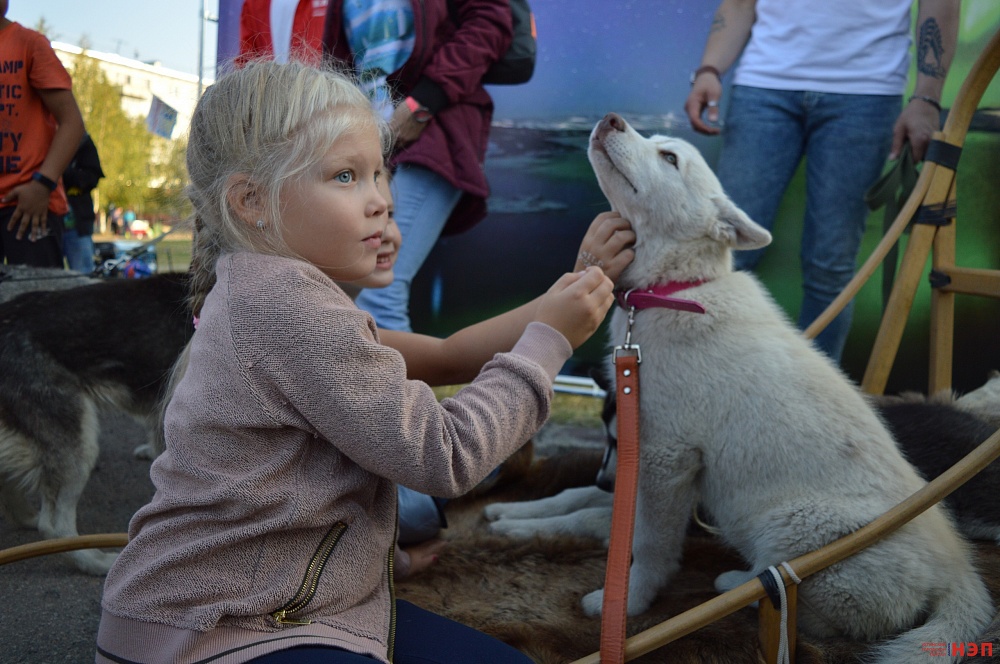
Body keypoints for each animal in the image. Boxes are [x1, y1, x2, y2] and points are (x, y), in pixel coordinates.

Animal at [490, 113, 992, 663]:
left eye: (670, 158)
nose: (610, 118)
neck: (676, 291)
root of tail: (960, 573)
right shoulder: (641, 457)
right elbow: (578, 496)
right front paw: (511, 515)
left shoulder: (667, 458)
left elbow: (645, 544)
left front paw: (628, 605)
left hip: (791, 527)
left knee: (803, 605)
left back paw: (737, 586)